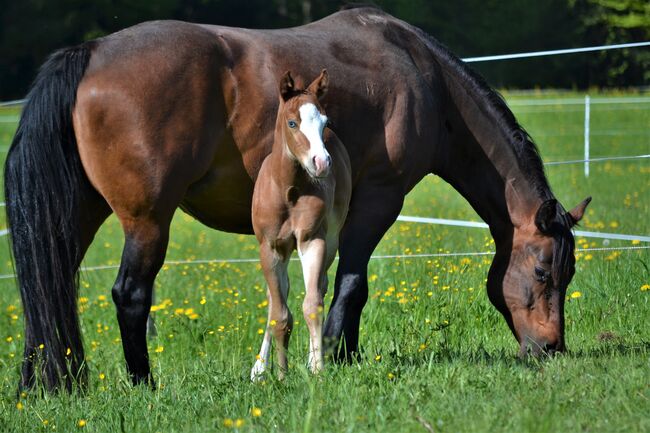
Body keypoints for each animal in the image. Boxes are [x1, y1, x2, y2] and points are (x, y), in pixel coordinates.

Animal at [248, 69, 350, 380]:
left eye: (324, 122)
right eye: (292, 122)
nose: (322, 162)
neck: (288, 191)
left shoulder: (312, 241)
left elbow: (312, 304)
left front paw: (317, 368)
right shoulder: (270, 249)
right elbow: (279, 314)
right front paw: (279, 375)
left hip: (331, 241)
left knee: (319, 288)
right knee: (274, 300)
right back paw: (259, 368)